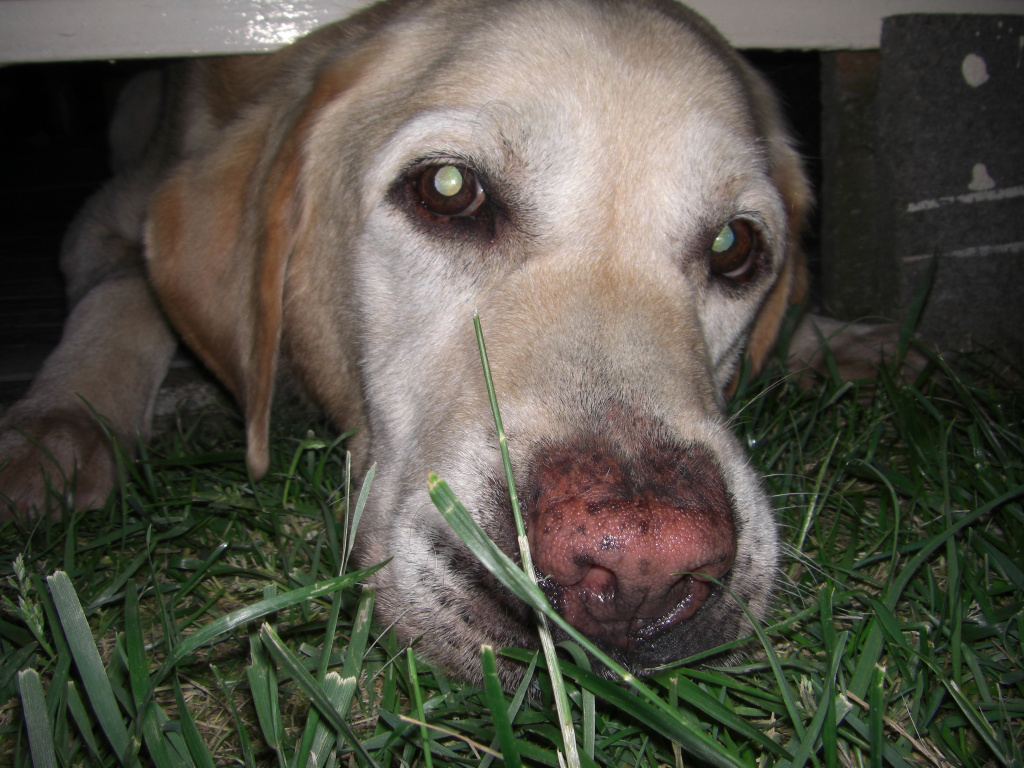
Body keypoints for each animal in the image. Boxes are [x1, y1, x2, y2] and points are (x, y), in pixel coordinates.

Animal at [2, 0, 848, 681]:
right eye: (448, 189)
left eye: (736, 246)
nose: (639, 567)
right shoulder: (111, 217)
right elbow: (123, 287)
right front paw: (56, 428)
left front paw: (836, 338)